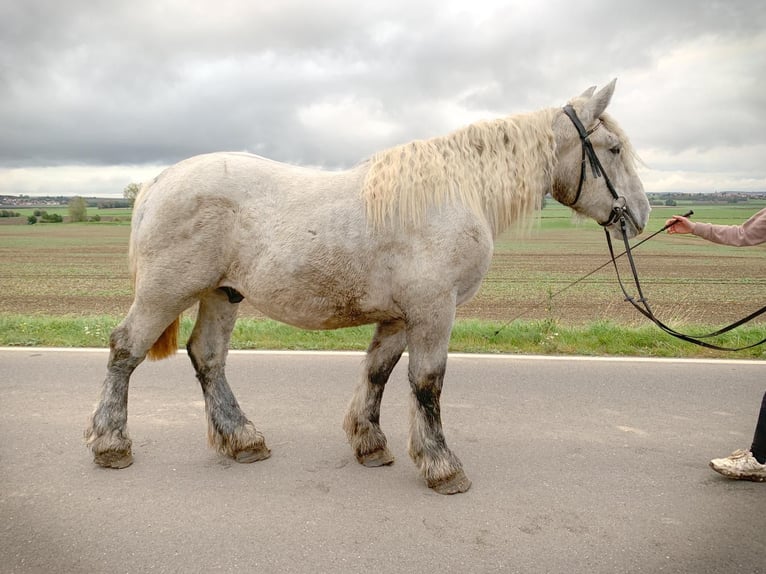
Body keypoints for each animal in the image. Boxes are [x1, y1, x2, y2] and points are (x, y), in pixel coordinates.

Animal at [84, 80, 652, 496]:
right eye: (613, 148)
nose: (640, 216)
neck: (455, 193)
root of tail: (157, 183)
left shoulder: (401, 316)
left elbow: (378, 373)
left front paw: (370, 444)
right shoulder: (434, 312)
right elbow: (427, 383)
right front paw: (442, 466)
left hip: (221, 294)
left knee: (208, 357)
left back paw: (242, 439)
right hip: (166, 292)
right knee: (126, 350)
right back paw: (112, 444)